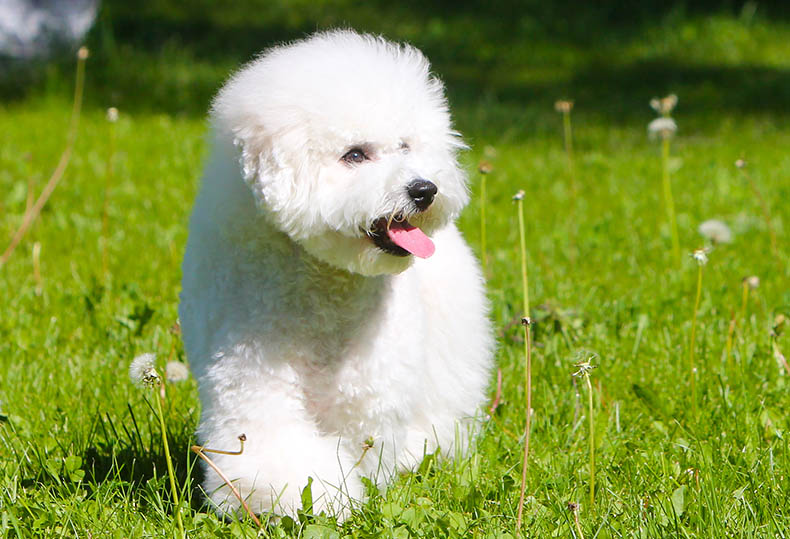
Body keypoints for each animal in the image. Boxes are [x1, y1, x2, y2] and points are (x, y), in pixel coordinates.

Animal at [181, 29, 496, 520]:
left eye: (405, 146)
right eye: (355, 154)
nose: (425, 189)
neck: (324, 284)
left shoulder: (370, 389)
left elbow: (368, 445)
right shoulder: (249, 377)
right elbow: (271, 444)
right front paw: (300, 496)